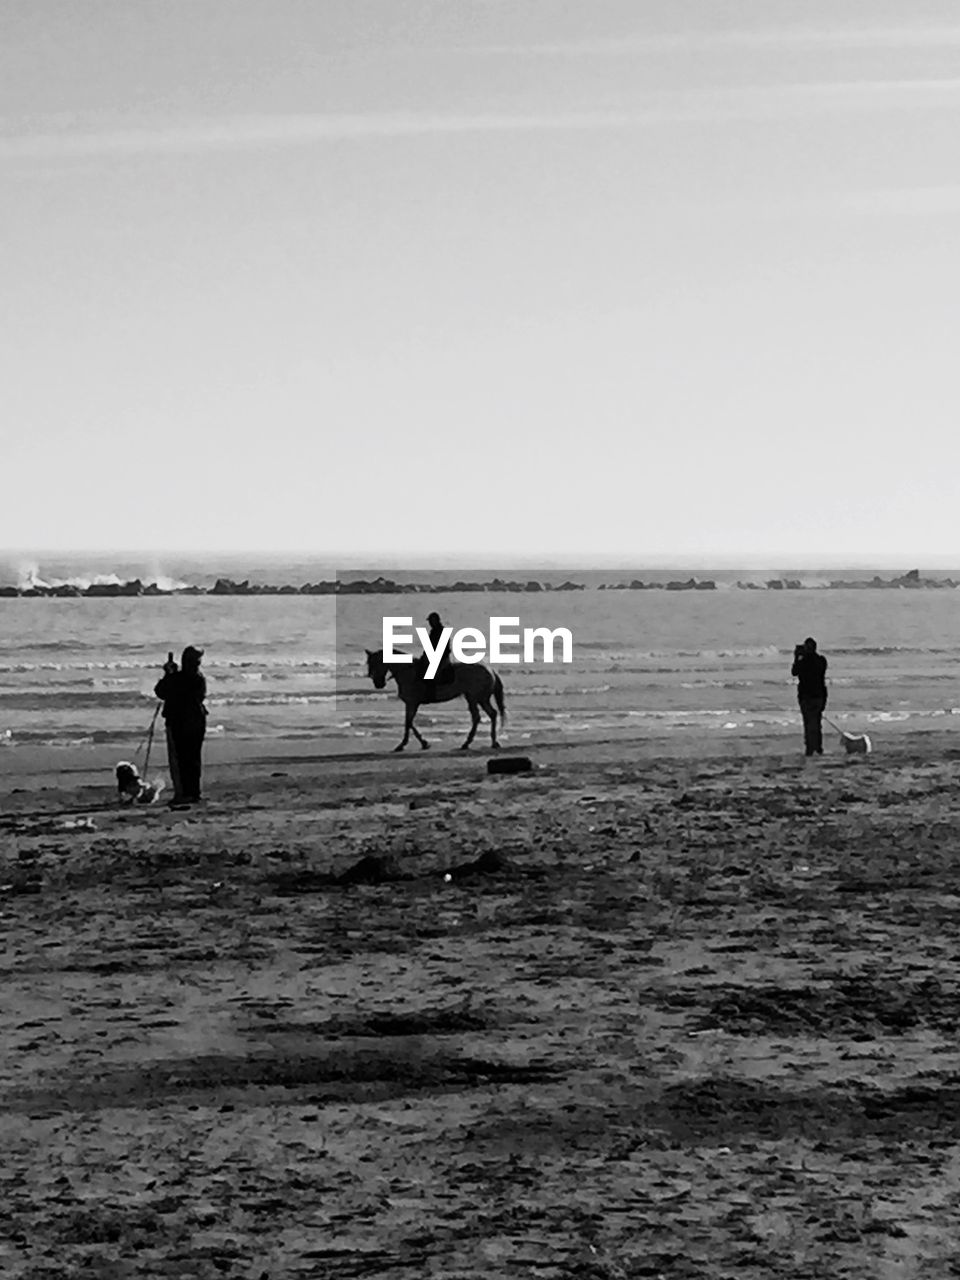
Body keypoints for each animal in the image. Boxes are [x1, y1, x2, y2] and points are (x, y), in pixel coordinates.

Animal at [363, 650, 506, 747]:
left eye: (375, 663)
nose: (378, 684)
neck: (407, 672)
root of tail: (490, 670)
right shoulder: (411, 704)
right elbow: (409, 722)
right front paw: (423, 743)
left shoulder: (412, 703)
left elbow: (408, 722)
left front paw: (405, 744)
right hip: (480, 698)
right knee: (491, 714)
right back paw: (492, 742)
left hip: (474, 698)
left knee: (478, 717)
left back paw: (468, 743)